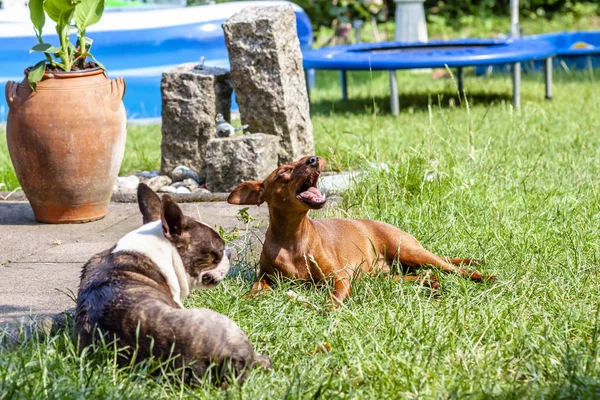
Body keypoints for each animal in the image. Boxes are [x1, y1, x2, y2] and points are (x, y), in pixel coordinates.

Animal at [227, 156, 494, 306]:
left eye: (304, 159)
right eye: (283, 172)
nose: (313, 159)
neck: (293, 238)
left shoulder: (339, 278)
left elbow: (333, 298)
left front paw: (328, 310)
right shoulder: (266, 277)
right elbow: (256, 287)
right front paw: (245, 299)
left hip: (410, 251)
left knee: (454, 268)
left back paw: (484, 277)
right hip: (385, 274)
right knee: (424, 276)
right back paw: (432, 285)